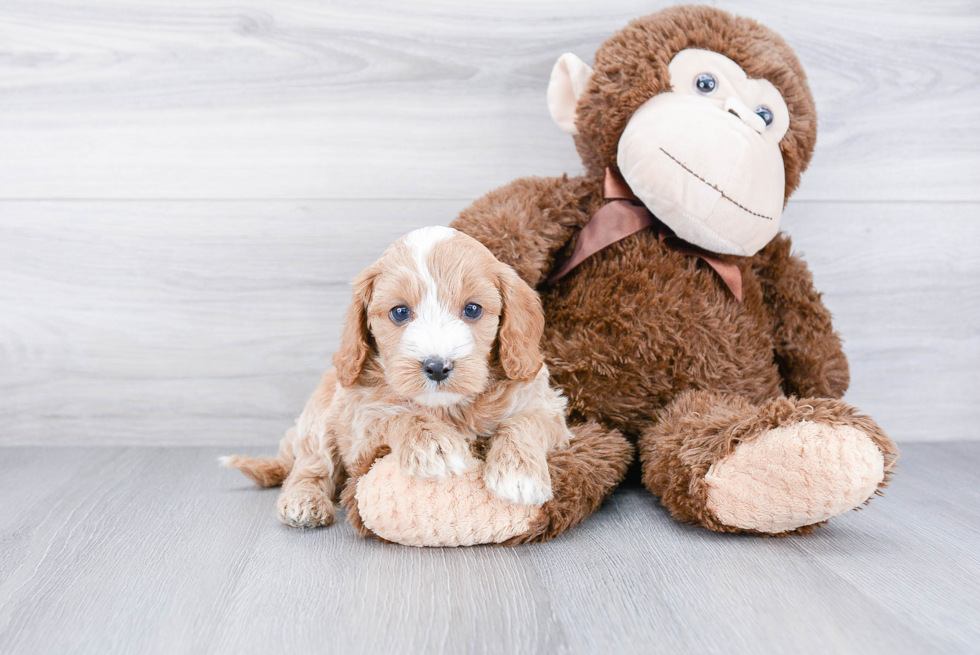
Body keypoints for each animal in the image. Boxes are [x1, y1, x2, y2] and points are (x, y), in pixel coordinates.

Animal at [222, 226, 572, 528]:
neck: (447, 408)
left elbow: (525, 421)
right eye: (400, 312)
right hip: (317, 417)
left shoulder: (547, 407)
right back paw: (304, 501)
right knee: (309, 467)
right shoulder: (358, 421)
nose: (437, 367)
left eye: (473, 309)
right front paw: (433, 445)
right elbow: (394, 413)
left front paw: (519, 473)